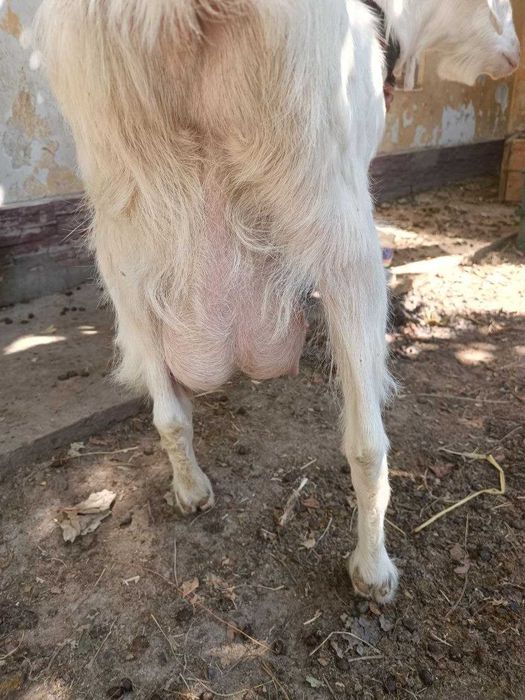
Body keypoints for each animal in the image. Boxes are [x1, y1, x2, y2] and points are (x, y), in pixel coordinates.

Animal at [34, 0, 519, 603]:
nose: (514, 58)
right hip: (341, 221)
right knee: (367, 441)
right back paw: (373, 569)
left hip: (121, 239)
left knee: (166, 409)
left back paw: (191, 488)